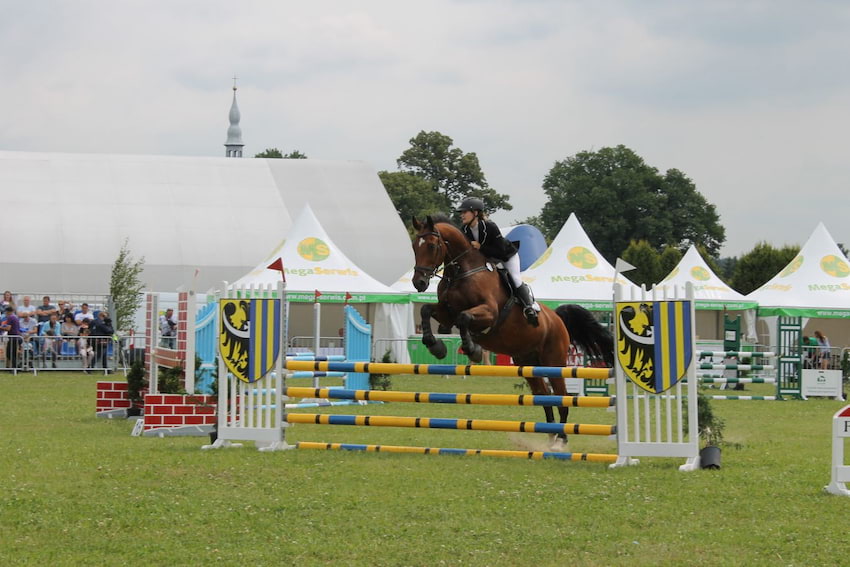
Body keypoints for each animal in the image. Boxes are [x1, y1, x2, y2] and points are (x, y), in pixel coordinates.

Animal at [410, 215, 612, 450]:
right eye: (415, 246)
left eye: (432, 246)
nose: (419, 282)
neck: (462, 271)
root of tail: (557, 318)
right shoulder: (445, 313)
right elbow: (426, 310)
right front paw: (436, 347)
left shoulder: (489, 313)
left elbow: (464, 318)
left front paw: (472, 350)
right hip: (528, 363)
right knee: (543, 396)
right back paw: (551, 436)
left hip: (554, 361)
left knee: (561, 397)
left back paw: (560, 440)